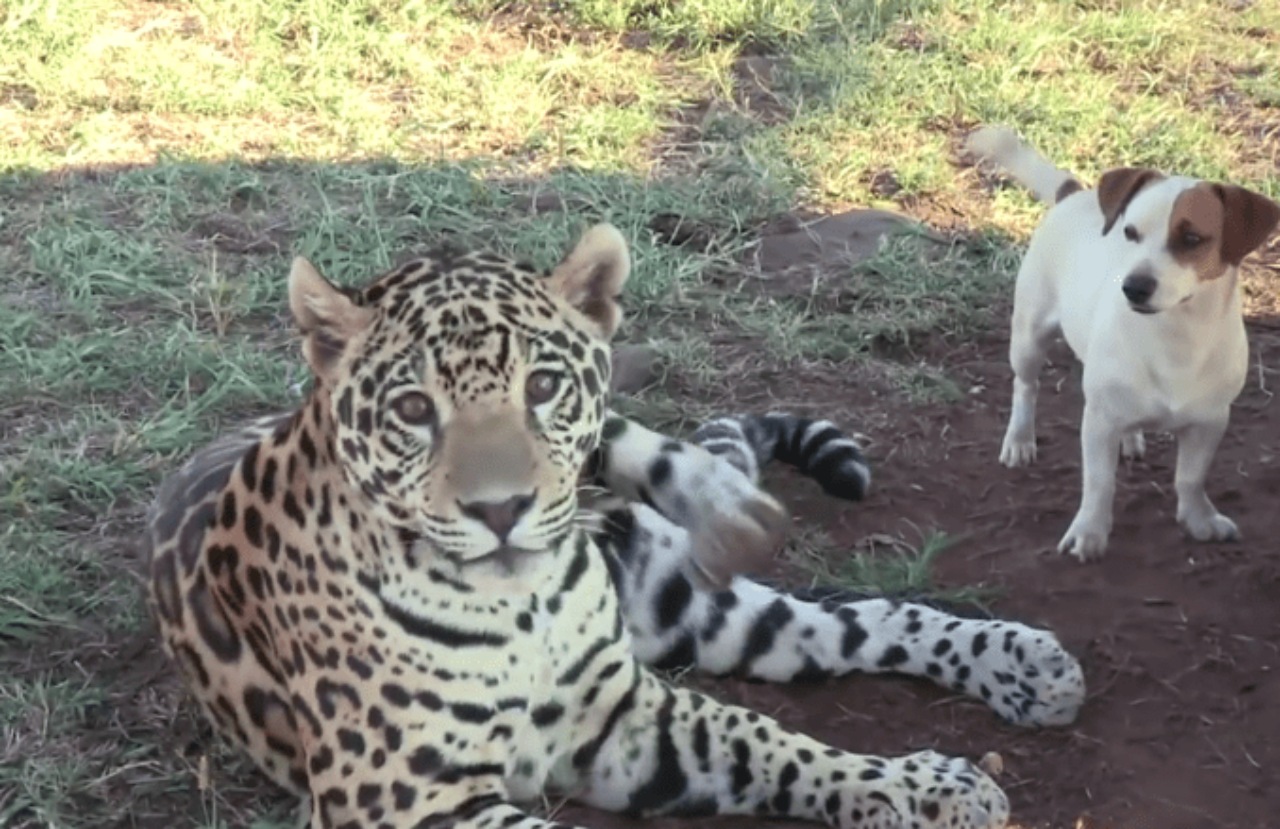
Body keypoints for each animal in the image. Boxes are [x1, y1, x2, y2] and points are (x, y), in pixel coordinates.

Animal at [967, 126, 1280, 560]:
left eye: (1192, 238)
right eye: (1129, 233)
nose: (1133, 286)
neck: (1175, 337)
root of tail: (1074, 195)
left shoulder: (1210, 422)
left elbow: (1191, 478)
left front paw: (1199, 520)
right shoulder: (1099, 421)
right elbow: (1100, 483)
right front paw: (1090, 533)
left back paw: (1131, 440)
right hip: (1030, 337)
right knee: (1026, 387)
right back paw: (1019, 440)